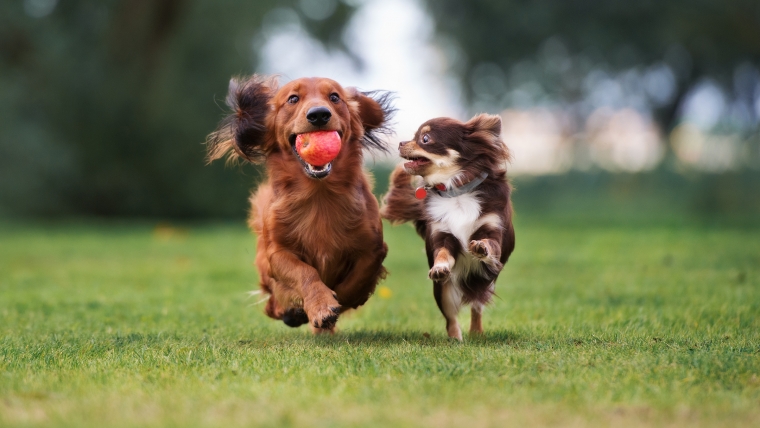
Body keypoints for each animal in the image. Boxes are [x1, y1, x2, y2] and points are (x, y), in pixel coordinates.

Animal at [208, 75, 398, 332]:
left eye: (335, 97)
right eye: (293, 99)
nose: (319, 114)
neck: (319, 195)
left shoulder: (373, 248)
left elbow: (357, 279)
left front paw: (338, 301)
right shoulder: (277, 253)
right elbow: (304, 272)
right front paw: (320, 305)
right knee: (272, 304)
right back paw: (292, 312)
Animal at [380, 114, 516, 342]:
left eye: (425, 139)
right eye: (414, 136)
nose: (400, 143)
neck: (456, 191)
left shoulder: (493, 230)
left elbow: (489, 244)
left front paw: (481, 248)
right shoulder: (443, 235)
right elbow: (443, 254)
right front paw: (440, 267)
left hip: (486, 282)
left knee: (476, 306)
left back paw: (476, 333)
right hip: (443, 292)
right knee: (451, 318)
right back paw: (455, 340)